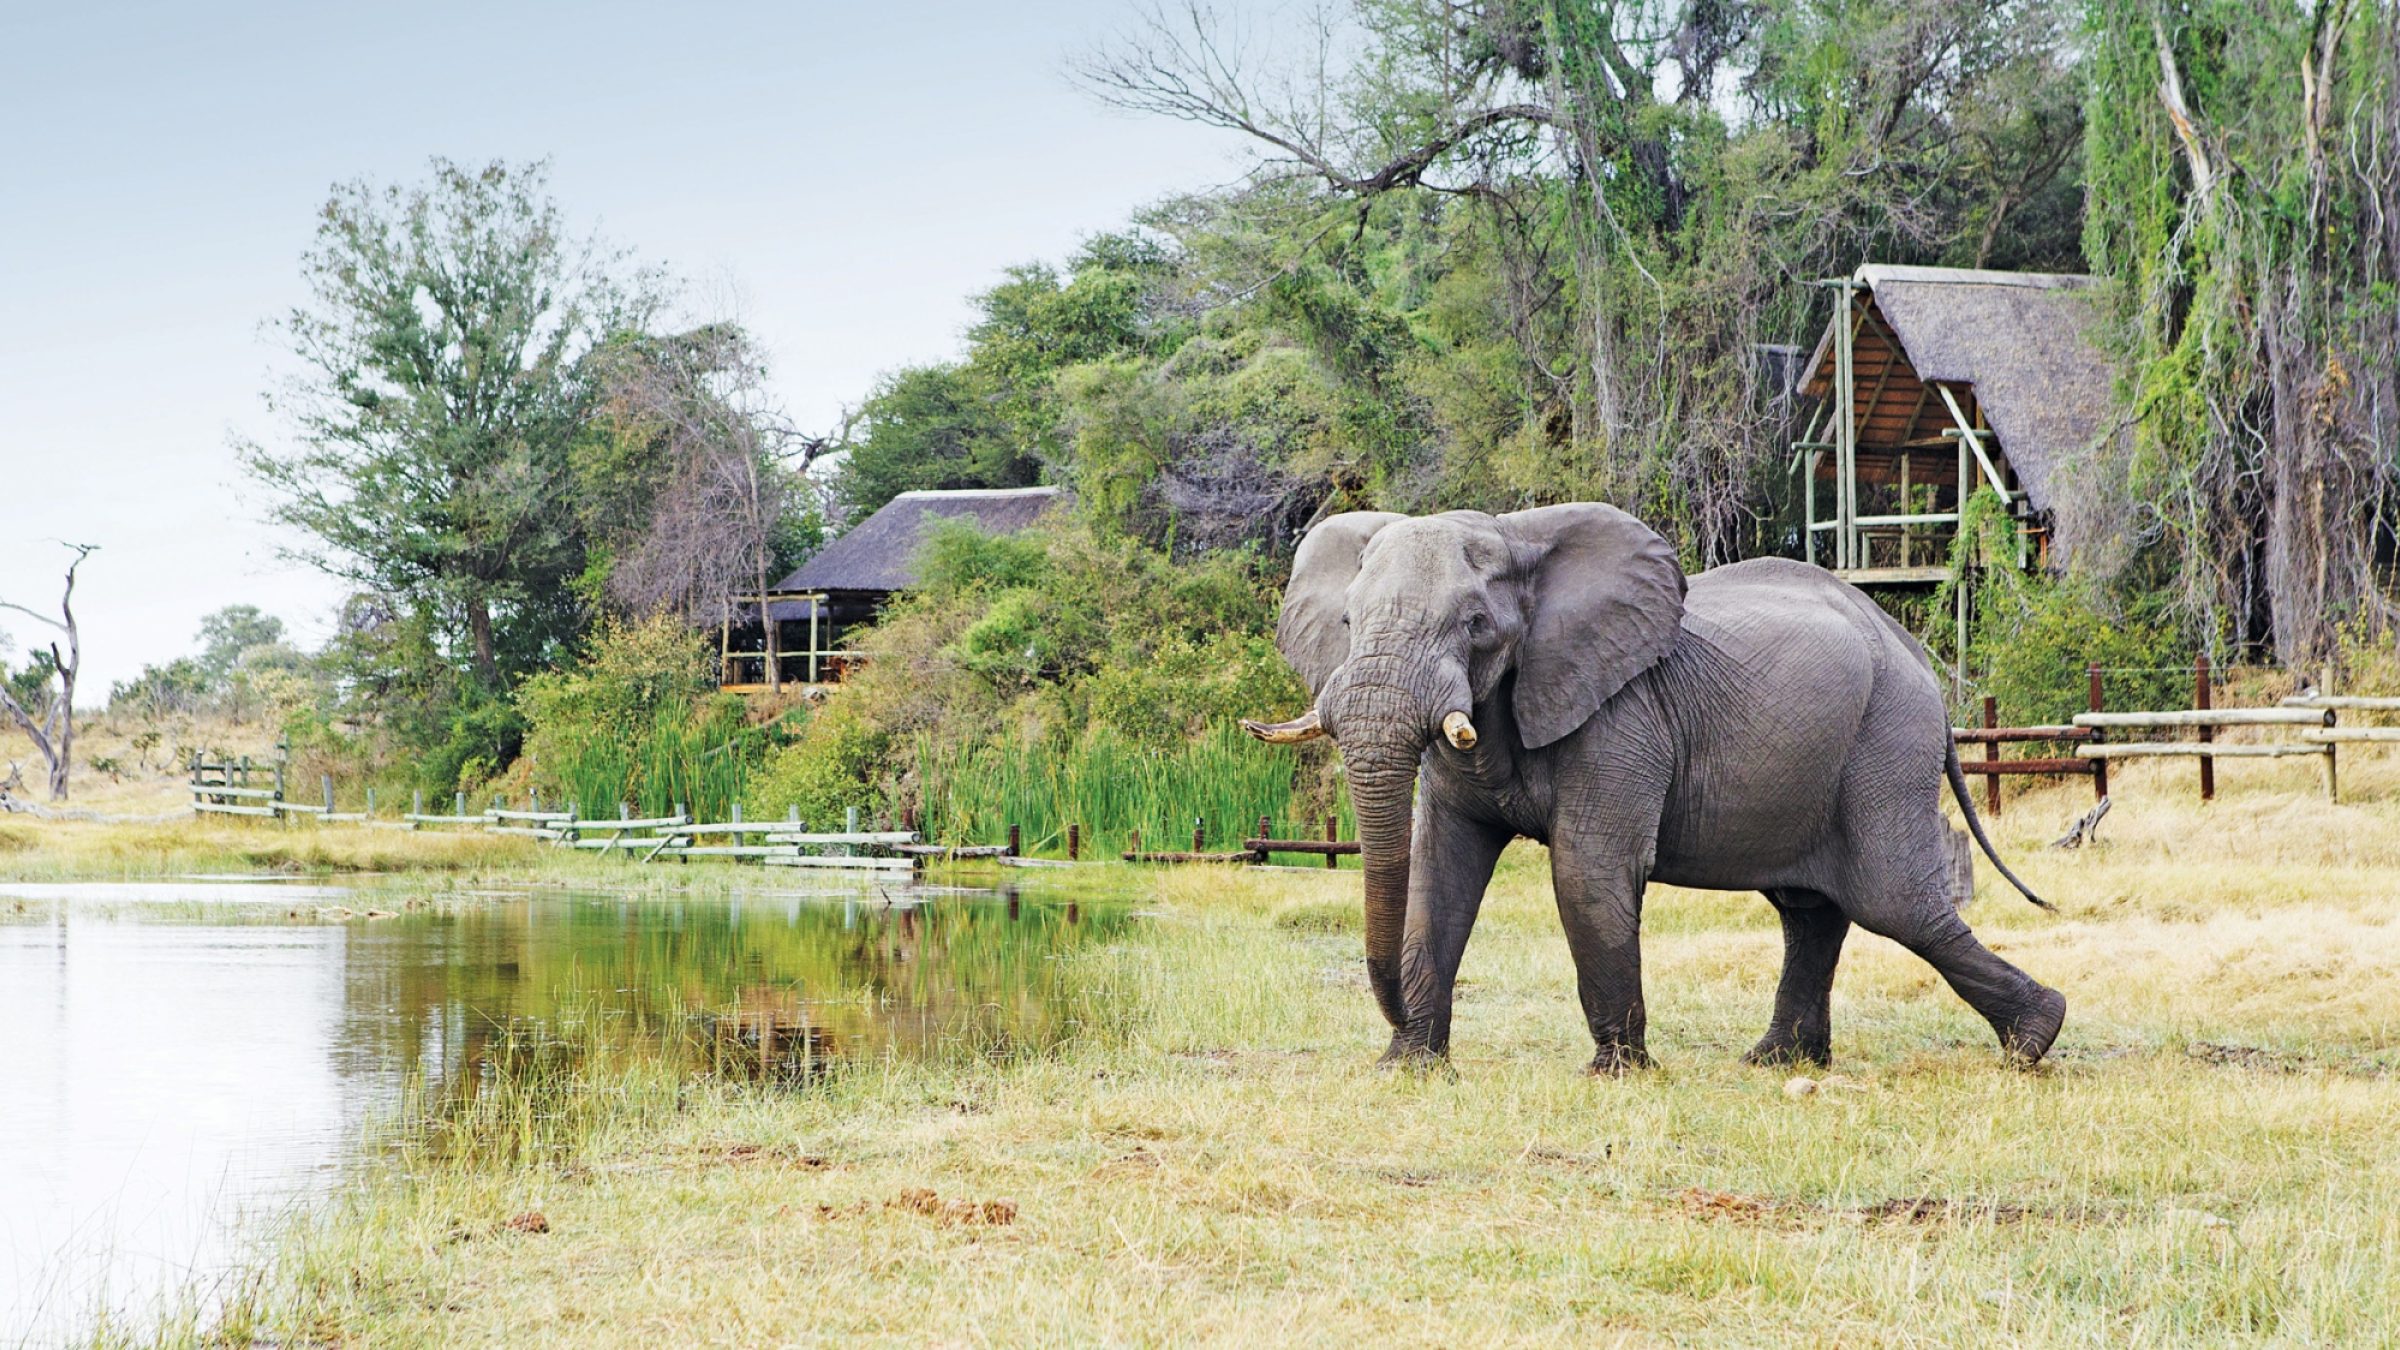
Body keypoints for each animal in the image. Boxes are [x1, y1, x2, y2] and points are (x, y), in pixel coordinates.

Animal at [1238, 504, 2064, 1071]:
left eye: (1474, 623)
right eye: (1349, 623)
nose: (1396, 1021)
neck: (1515, 536)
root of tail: (1920, 659)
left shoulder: (1622, 714)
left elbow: (1587, 870)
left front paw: (1617, 1074)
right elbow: (1441, 871)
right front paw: (1409, 1068)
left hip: (1885, 741)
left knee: (1894, 903)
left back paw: (2034, 1040)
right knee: (1812, 911)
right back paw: (1777, 1062)